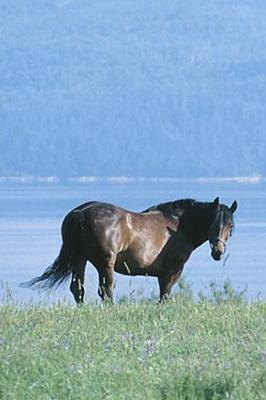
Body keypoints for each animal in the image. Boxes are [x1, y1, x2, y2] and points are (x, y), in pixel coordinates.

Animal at [22, 195, 237, 302]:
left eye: (230, 226)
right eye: (213, 224)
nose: (218, 251)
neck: (178, 226)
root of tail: (80, 213)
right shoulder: (171, 273)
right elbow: (165, 297)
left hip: (79, 259)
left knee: (78, 289)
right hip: (105, 265)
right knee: (105, 291)